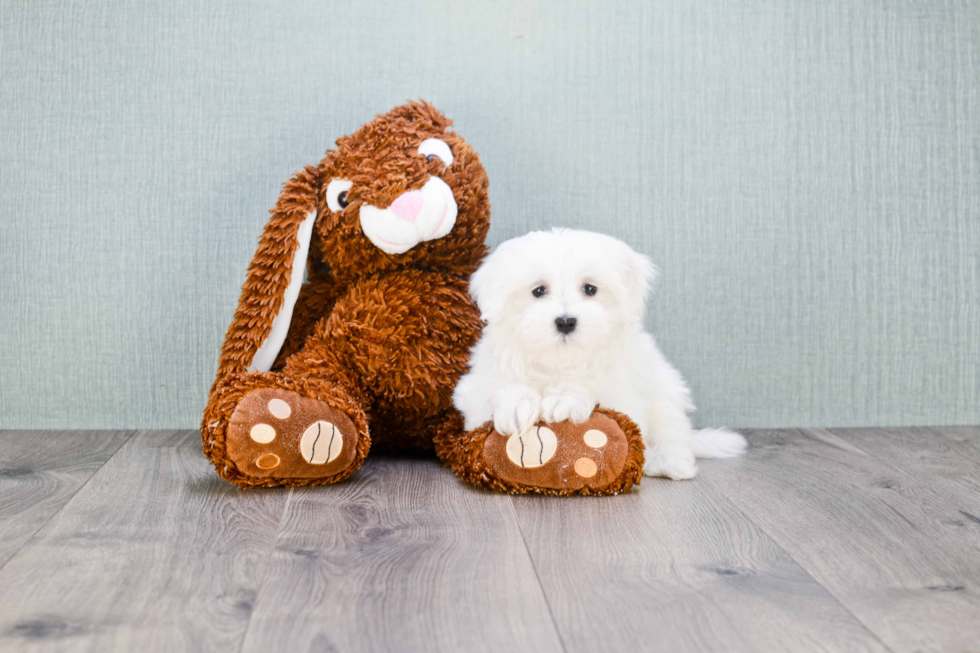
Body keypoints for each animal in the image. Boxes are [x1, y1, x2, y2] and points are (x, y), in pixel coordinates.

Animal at [456, 229, 748, 478]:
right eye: (538, 291)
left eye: (590, 289)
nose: (565, 321)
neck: (559, 361)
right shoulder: (476, 390)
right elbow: (495, 393)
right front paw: (517, 404)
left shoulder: (624, 393)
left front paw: (566, 398)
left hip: (666, 392)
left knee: (672, 432)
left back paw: (668, 462)